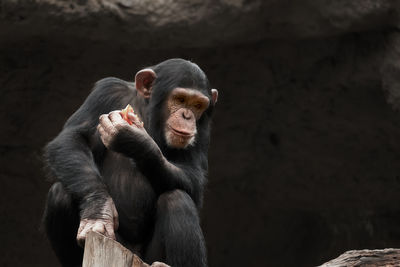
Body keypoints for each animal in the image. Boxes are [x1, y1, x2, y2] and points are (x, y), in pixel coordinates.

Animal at [43, 59, 219, 267]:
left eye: (198, 105)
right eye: (180, 99)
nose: (187, 116)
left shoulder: (204, 127)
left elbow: (194, 179)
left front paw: (135, 140)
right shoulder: (107, 91)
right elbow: (73, 138)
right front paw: (98, 211)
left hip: (148, 257)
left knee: (177, 199)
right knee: (59, 194)